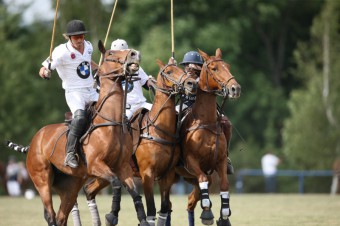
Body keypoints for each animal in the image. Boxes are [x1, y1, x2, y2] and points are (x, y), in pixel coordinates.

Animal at [5, 41, 150, 226]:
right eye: (111, 52)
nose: (134, 54)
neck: (111, 122)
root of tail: (33, 142)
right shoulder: (96, 164)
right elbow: (116, 183)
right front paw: (112, 216)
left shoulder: (122, 166)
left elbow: (134, 193)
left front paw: (141, 220)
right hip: (42, 179)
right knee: (50, 214)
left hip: (71, 185)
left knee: (61, 216)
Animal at [77, 57, 198, 226]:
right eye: (168, 72)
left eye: (182, 70)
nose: (191, 84)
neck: (159, 130)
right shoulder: (147, 174)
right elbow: (152, 209)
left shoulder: (167, 175)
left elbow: (164, 208)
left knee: (89, 189)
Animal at [175, 48, 242, 226]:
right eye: (214, 68)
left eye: (227, 66)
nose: (235, 88)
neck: (206, 122)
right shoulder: (191, 162)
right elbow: (203, 178)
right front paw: (207, 213)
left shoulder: (220, 161)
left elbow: (224, 185)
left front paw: (224, 216)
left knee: (191, 201)